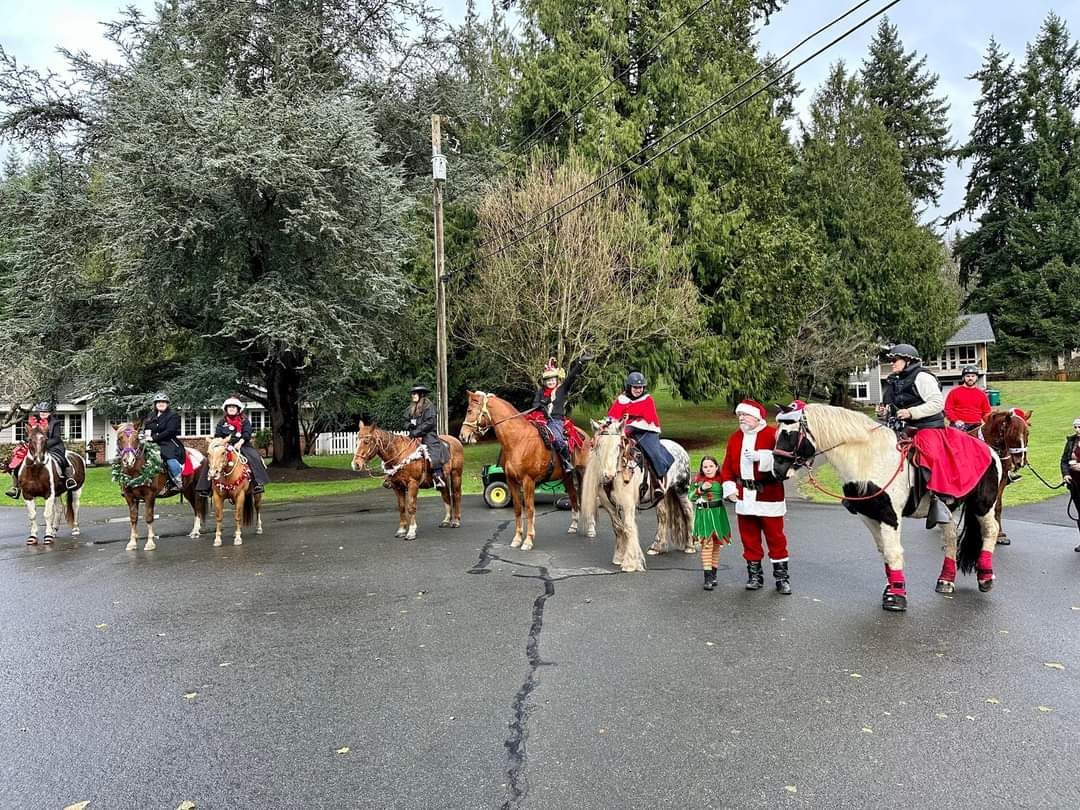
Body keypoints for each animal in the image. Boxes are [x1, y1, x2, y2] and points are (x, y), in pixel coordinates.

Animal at [578, 419, 695, 570]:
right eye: (599, 445)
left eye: (618, 446)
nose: (608, 475)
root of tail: (679, 448)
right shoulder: (609, 505)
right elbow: (618, 528)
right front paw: (619, 557)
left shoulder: (628, 504)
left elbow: (628, 527)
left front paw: (631, 562)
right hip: (660, 495)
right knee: (663, 516)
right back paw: (657, 547)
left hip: (681, 489)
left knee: (688, 511)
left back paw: (690, 546)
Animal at [773, 406, 997, 613]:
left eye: (789, 434)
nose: (777, 470)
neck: (870, 459)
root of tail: (989, 450)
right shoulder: (869, 516)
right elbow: (884, 551)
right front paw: (891, 588)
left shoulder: (890, 516)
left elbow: (893, 552)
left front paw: (896, 597)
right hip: (947, 510)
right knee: (950, 539)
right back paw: (946, 581)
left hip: (983, 505)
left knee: (990, 531)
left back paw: (986, 578)